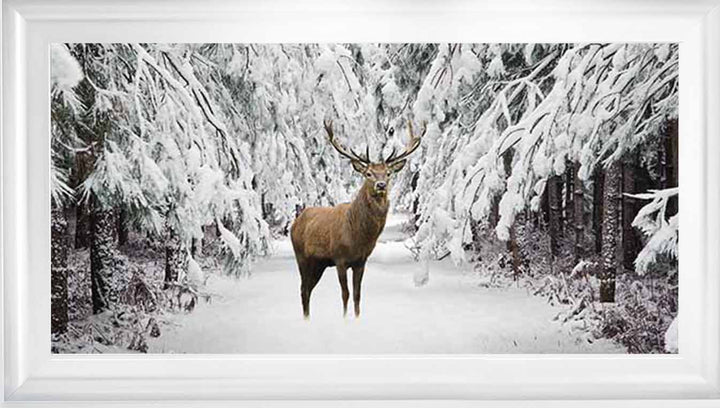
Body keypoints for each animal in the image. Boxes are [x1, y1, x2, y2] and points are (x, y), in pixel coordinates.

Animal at [290, 119, 425, 319]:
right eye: (368, 173)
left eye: (388, 173)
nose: (381, 185)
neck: (358, 236)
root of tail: (296, 221)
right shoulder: (339, 258)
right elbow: (345, 294)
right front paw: (345, 319)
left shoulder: (361, 261)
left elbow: (357, 294)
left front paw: (357, 318)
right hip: (301, 256)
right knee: (303, 289)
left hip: (319, 263)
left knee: (308, 289)